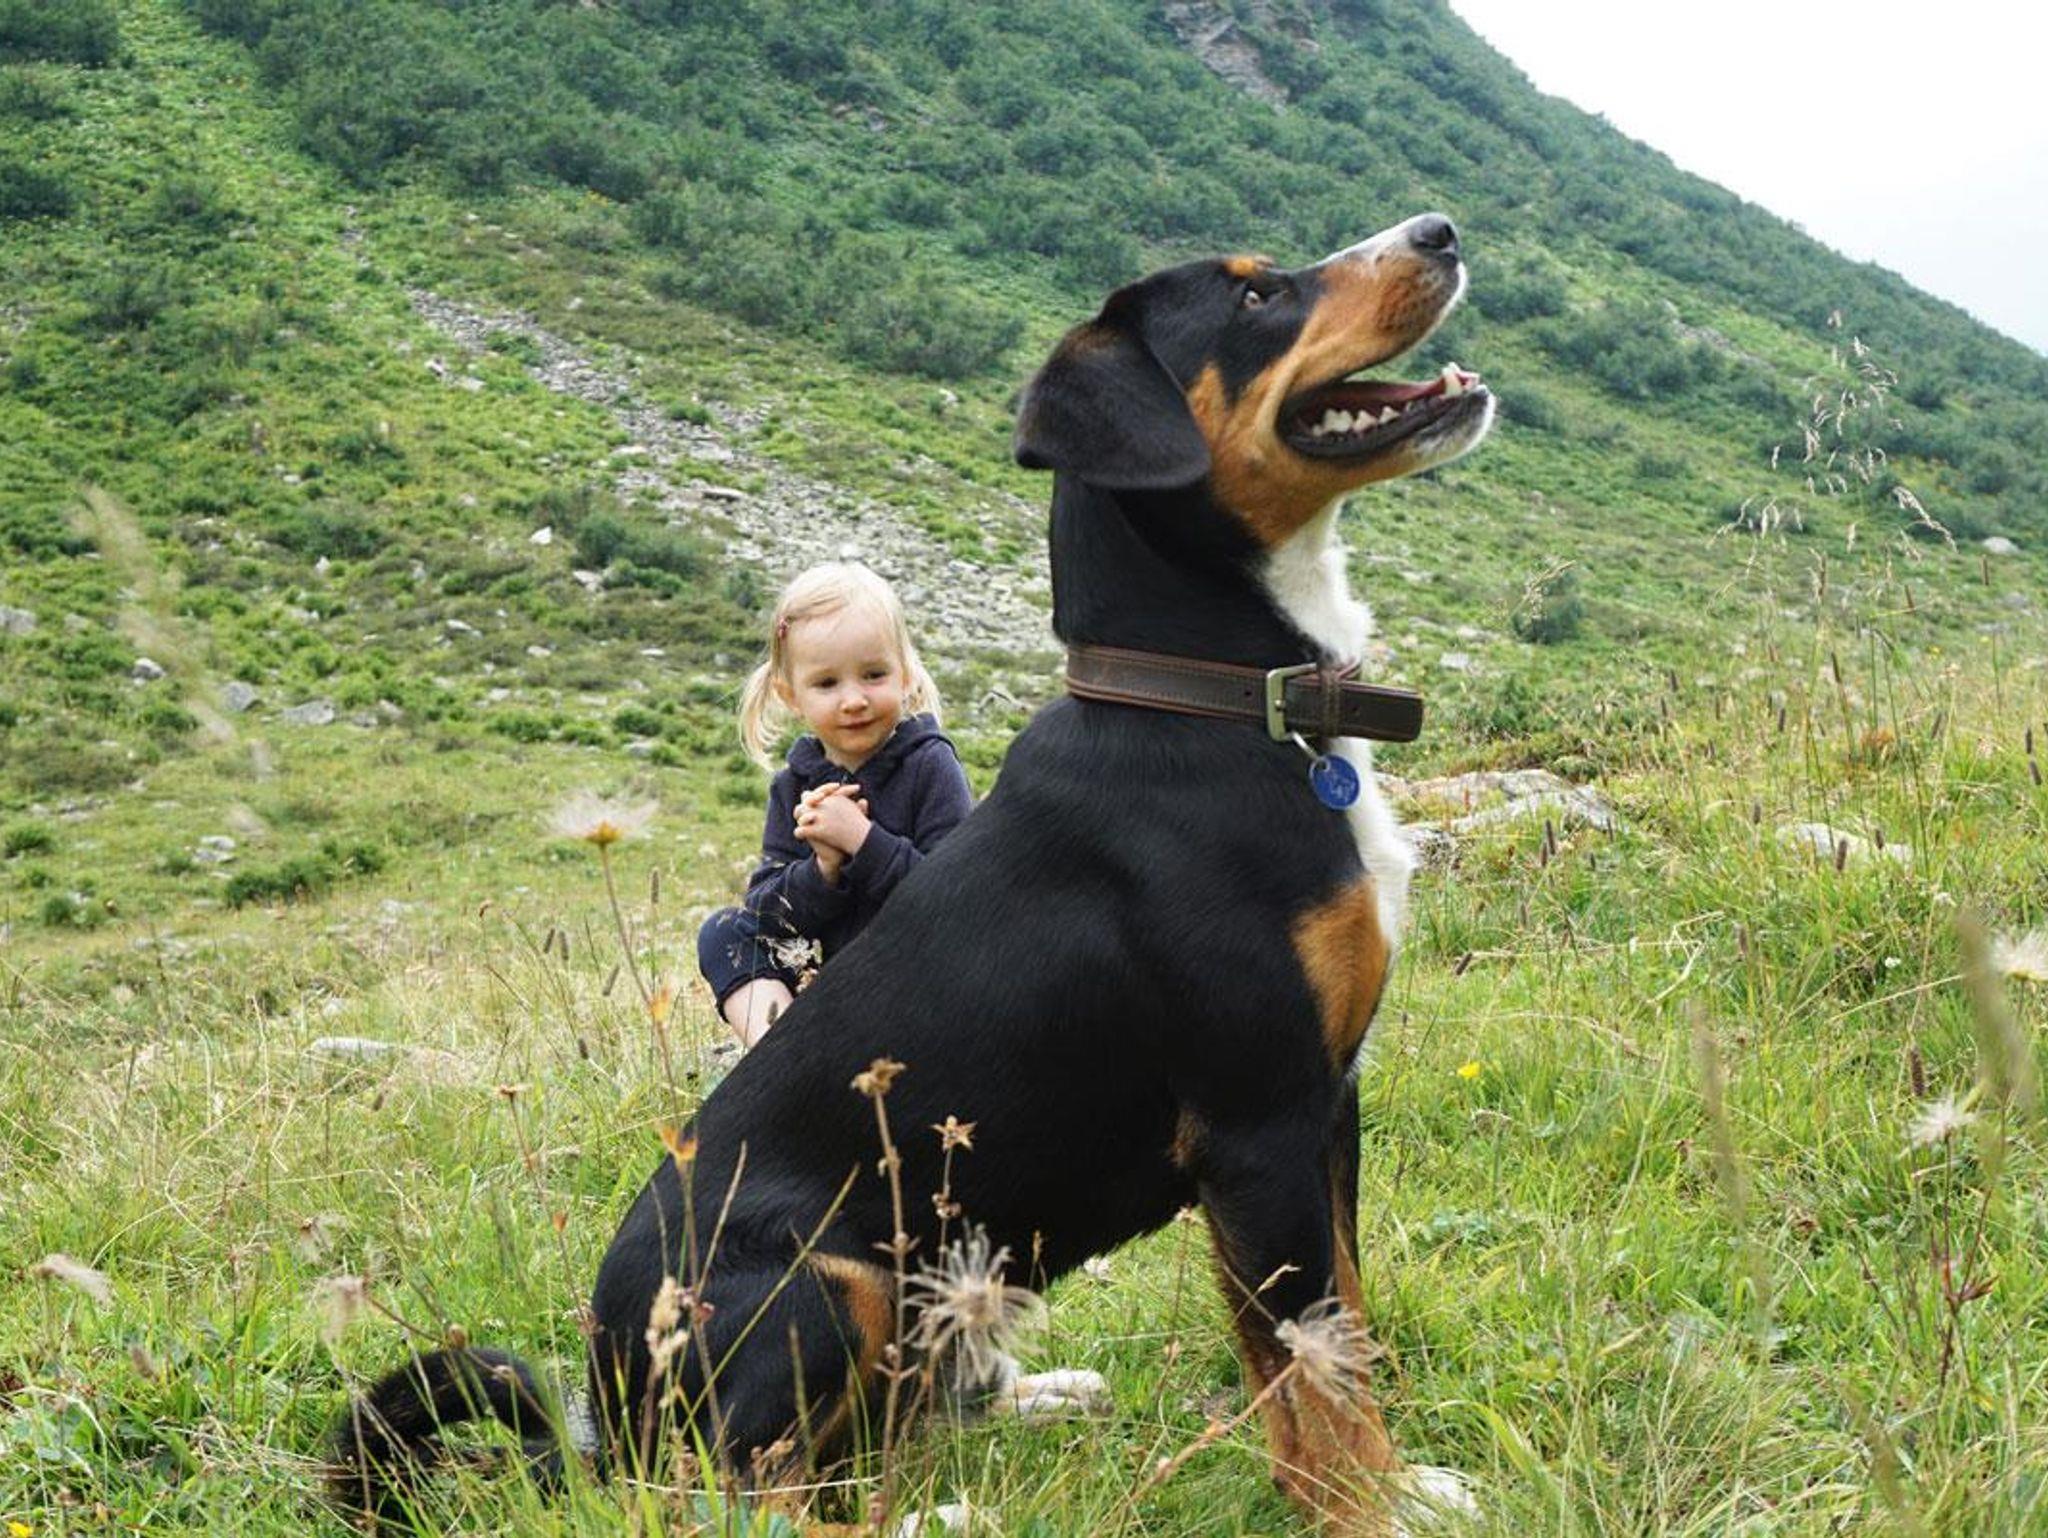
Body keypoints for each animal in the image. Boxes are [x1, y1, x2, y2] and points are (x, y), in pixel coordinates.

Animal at [333, 210, 1493, 1534]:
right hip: (823, 1276)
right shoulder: (1256, 1123)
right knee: (739, 1489)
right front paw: (1363, 1507)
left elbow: (1346, 1327)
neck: (1215, 704)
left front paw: (1404, 1485)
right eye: (1255, 299)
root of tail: (601, 1418)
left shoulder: (1327, 1102)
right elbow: (1311, 1367)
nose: (1438, 228)